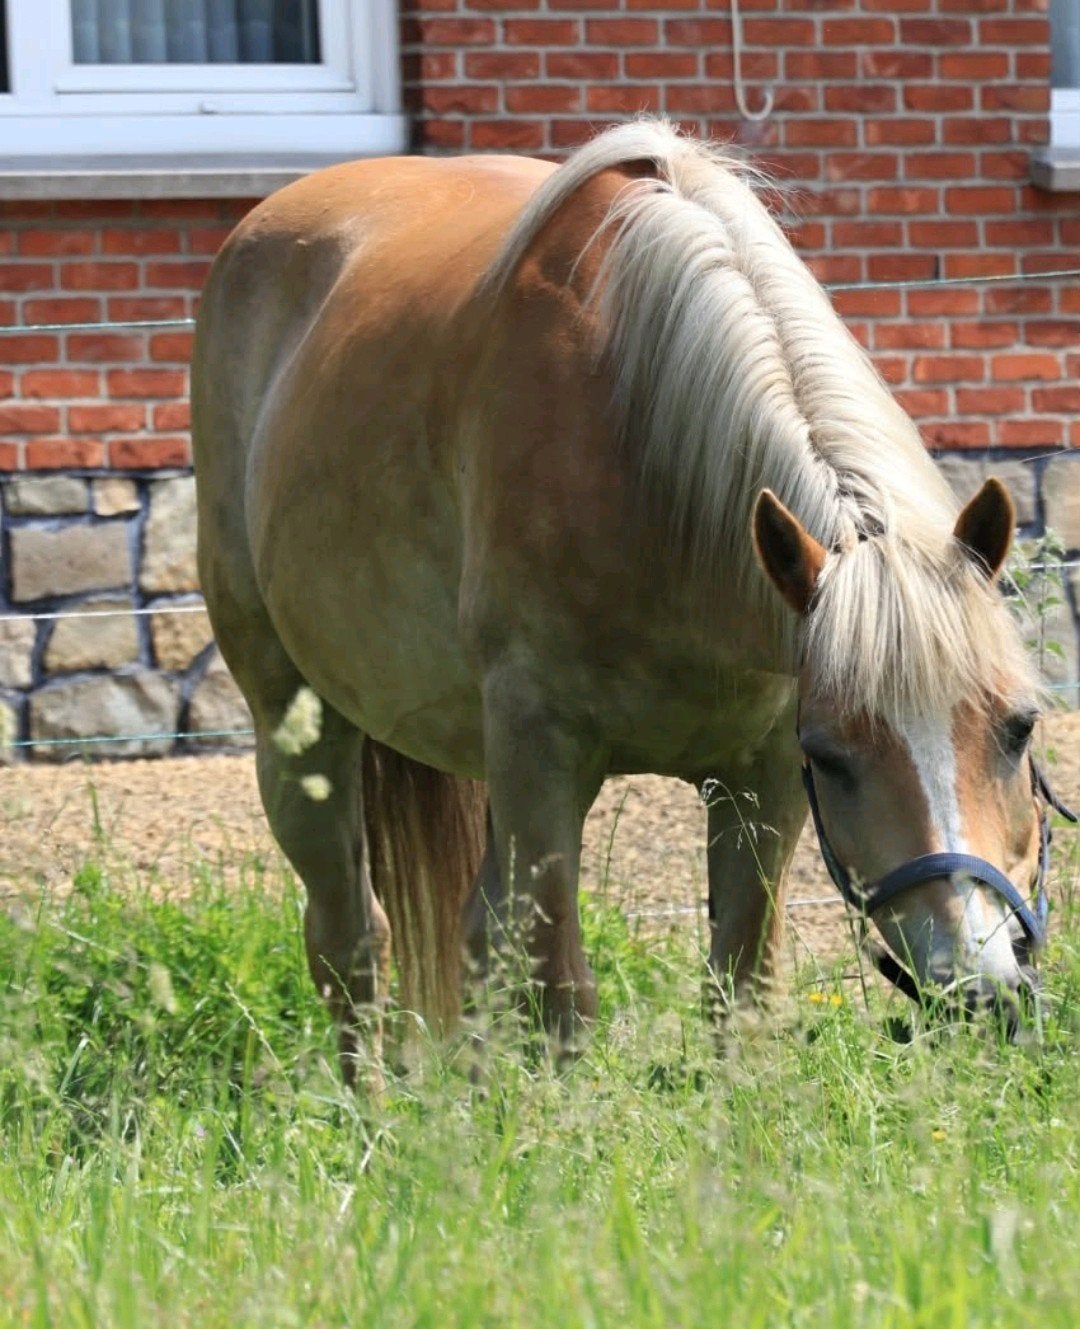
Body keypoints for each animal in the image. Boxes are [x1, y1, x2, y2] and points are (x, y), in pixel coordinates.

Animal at [192, 120, 1055, 1087]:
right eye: (833, 756)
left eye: (1018, 726)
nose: (978, 989)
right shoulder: (542, 759)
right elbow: (561, 994)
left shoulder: (759, 778)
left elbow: (740, 986)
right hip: (297, 727)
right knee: (351, 938)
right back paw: (368, 1108)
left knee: (469, 935)